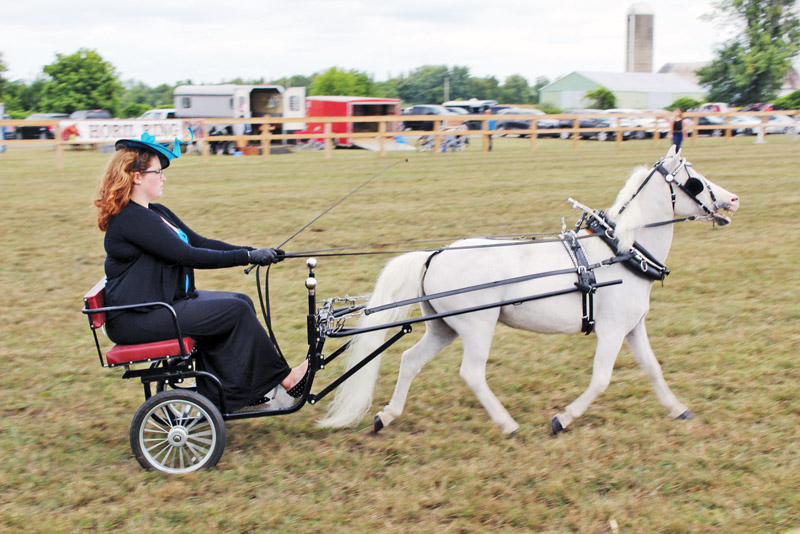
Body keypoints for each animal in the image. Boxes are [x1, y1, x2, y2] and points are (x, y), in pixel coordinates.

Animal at [316, 148, 740, 436]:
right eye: (695, 180)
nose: (733, 198)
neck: (621, 252)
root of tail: (435, 256)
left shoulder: (632, 328)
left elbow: (653, 369)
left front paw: (677, 408)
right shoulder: (611, 331)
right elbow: (601, 379)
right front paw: (562, 418)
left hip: (444, 327)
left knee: (409, 361)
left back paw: (387, 415)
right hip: (477, 326)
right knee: (472, 373)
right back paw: (507, 423)